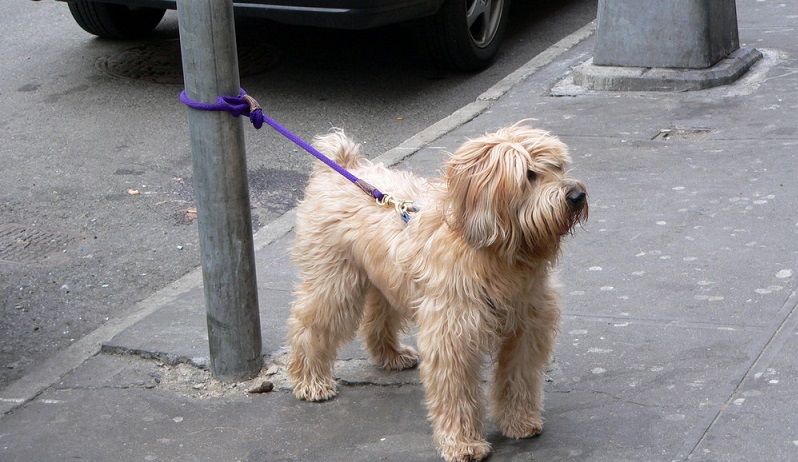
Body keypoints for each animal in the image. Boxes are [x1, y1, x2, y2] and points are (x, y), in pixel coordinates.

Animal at [288, 121, 588, 460]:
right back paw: (310, 380)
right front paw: (463, 443)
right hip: (334, 282)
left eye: (558, 167)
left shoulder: (526, 329)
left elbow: (518, 378)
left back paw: (390, 355)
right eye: (529, 174)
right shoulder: (452, 335)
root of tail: (341, 167)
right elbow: (456, 392)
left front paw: (519, 421)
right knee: (308, 324)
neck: (496, 256)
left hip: (386, 280)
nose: (577, 195)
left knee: (376, 318)